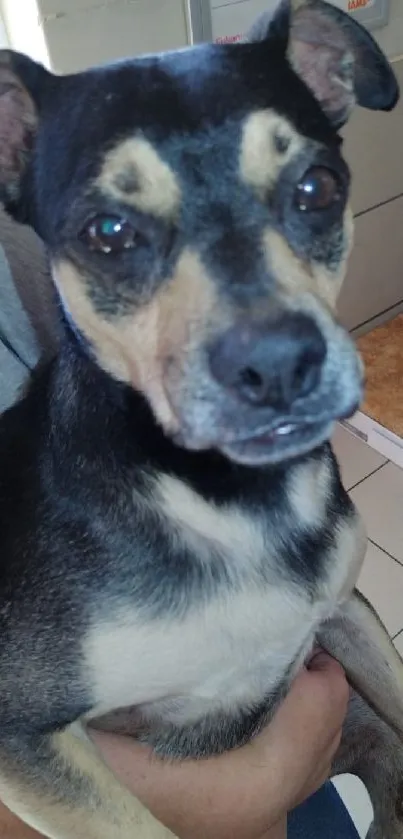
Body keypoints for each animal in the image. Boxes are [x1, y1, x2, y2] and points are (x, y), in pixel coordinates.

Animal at [0, 0, 402, 836]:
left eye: (317, 185)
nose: (278, 364)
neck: (232, 501)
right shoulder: (24, 735)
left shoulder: (348, 612)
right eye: (107, 232)